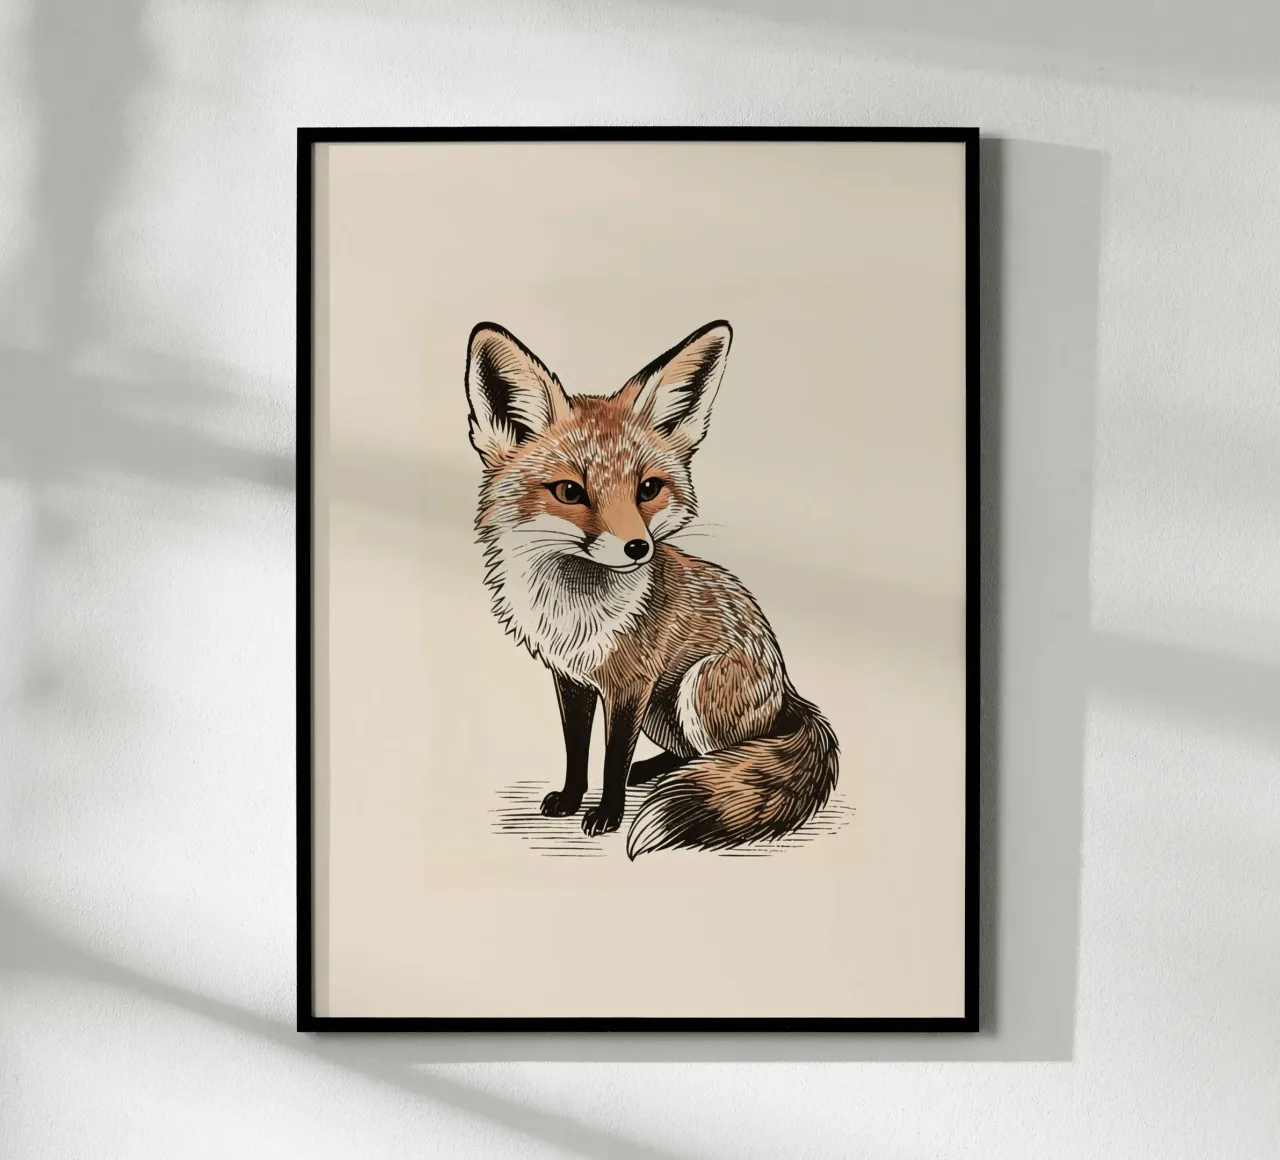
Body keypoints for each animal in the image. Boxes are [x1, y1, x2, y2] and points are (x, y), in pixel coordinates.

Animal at [464, 318, 839, 858]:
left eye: (648, 489)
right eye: (570, 492)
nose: (638, 547)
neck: (574, 611)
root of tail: (788, 690)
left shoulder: (631, 684)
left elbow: (612, 757)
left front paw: (607, 815)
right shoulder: (572, 679)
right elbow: (577, 749)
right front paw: (572, 800)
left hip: (695, 688)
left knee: (730, 757)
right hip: (666, 712)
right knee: (691, 755)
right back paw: (656, 772)